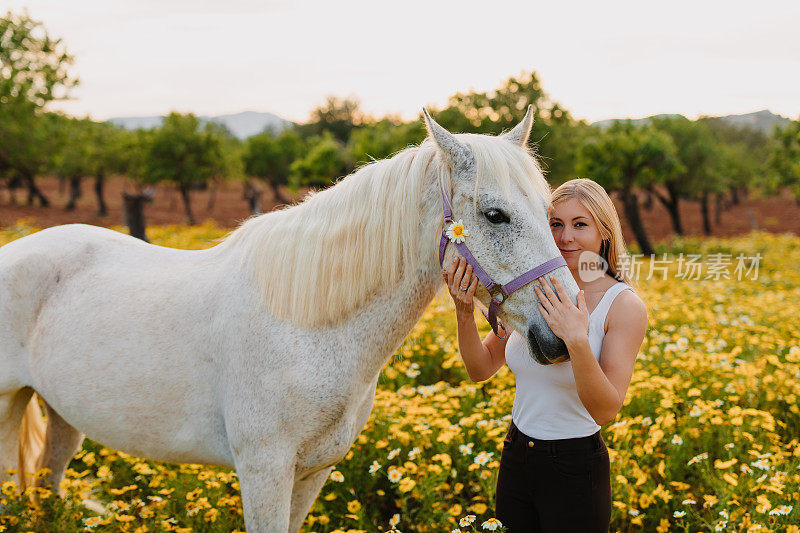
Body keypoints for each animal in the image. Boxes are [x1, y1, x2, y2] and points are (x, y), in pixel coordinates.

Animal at [0, 109, 576, 532]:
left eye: (550, 213)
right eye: (494, 215)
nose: (561, 337)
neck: (308, 327)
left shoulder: (313, 472)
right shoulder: (264, 471)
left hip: (62, 418)